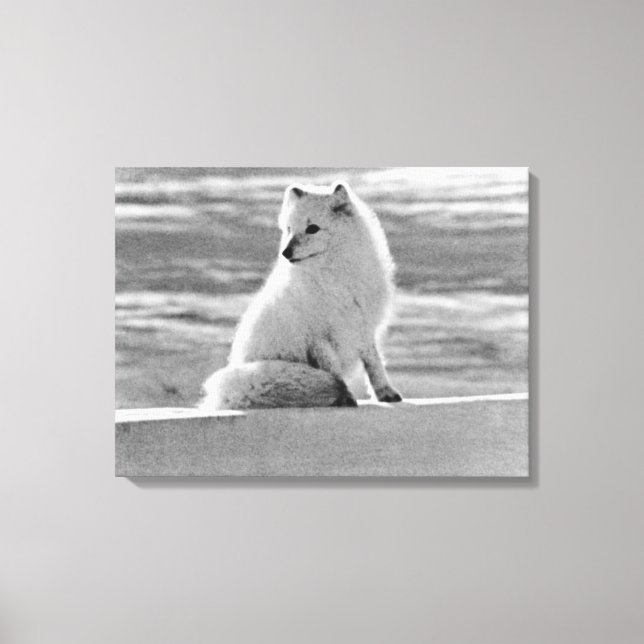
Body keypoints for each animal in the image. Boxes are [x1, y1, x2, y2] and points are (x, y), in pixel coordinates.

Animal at [199, 181, 402, 410]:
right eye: (289, 229)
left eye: (312, 228)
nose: (285, 253)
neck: (335, 277)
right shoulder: (318, 338)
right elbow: (335, 373)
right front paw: (346, 398)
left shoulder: (363, 326)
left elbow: (374, 364)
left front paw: (386, 393)